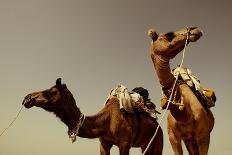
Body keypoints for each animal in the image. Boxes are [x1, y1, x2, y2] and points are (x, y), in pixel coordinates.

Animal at [22, 78, 163, 155]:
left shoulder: (124, 144)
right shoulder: (104, 144)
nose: (27, 98)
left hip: (158, 139)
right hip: (145, 144)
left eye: (48, 92)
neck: (106, 120)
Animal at [148, 26, 215, 154]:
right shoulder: (173, 137)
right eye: (168, 35)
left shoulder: (204, 136)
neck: (185, 115)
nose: (194, 29)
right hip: (189, 140)